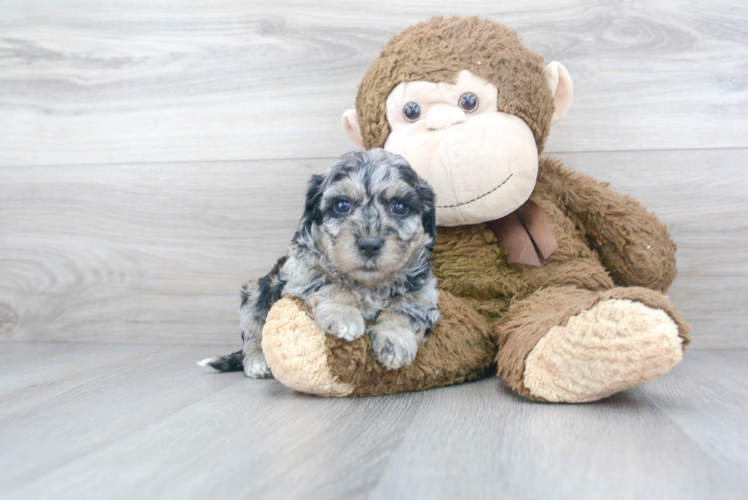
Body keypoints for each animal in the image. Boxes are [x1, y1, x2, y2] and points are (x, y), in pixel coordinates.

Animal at [202, 149, 442, 378]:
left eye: (400, 207)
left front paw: (395, 342)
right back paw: (257, 362)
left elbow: (407, 306)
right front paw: (345, 316)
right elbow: (327, 281)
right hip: (252, 296)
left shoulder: (424, 290)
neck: (367, 284)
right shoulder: (300, 268)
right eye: (342, 205)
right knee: (252, 338)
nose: (369, 245)